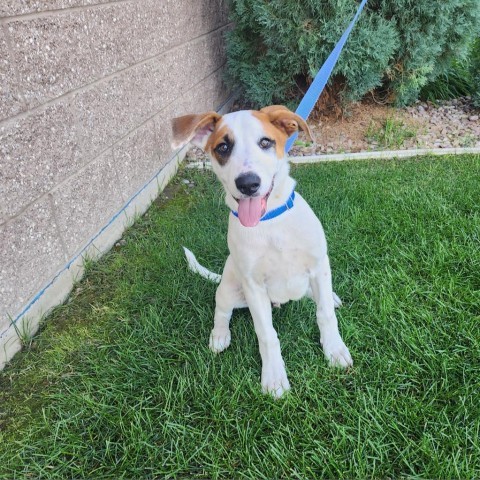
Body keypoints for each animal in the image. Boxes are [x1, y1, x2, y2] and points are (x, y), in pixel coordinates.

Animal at [172, 105, 352, 398]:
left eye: (265, 142)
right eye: (222, 147)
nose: (248, 183)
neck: (269, 224)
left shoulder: (318, 265)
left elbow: (325, 314)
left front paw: (334, 350)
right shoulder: (254, 287)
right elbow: (267, 335)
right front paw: (275, 377)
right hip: (229, 287)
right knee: (221, 310)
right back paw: (219, 336)